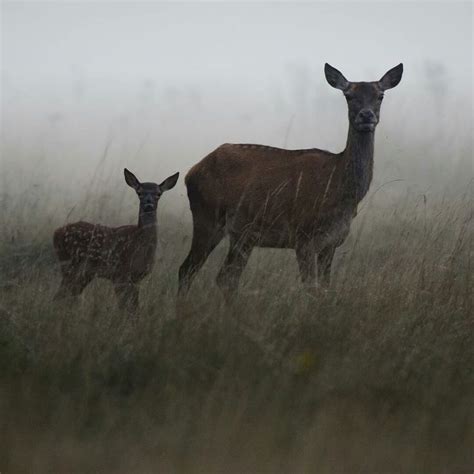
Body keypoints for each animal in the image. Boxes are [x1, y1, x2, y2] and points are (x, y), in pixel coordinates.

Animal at [53, 168, 179, 312]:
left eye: (158, 193)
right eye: (139, 192)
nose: (148, 204)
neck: (140, 245)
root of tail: (56, 233)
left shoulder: (136, 278)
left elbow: (134, 307)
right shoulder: (120, 274)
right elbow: (124, 307)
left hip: (83, 273)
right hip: (71, 266)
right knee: (60, 295)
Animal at [180, 63, 402, 300]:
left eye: (380, 95)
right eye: (348, 96)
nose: (366, 115)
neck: (339, 189)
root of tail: (190, 172)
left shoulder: (333, 242)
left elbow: (326, 287)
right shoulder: (303, 236)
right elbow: (311, 288)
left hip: (243, 234)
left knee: (226, 278)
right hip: (207, 217)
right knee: (188, 269)